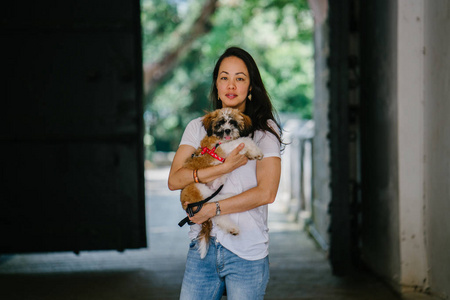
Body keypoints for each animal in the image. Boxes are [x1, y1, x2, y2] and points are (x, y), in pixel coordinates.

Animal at [180, 107, 264, 258]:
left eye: (233, 122)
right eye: (220, 123)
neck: (219, 140)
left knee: (218, 210)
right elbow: (244, 140)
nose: (227, 130)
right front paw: (256, 151)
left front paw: (251, 154)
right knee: (214, 207)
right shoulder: (222, 150)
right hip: (199, 189)